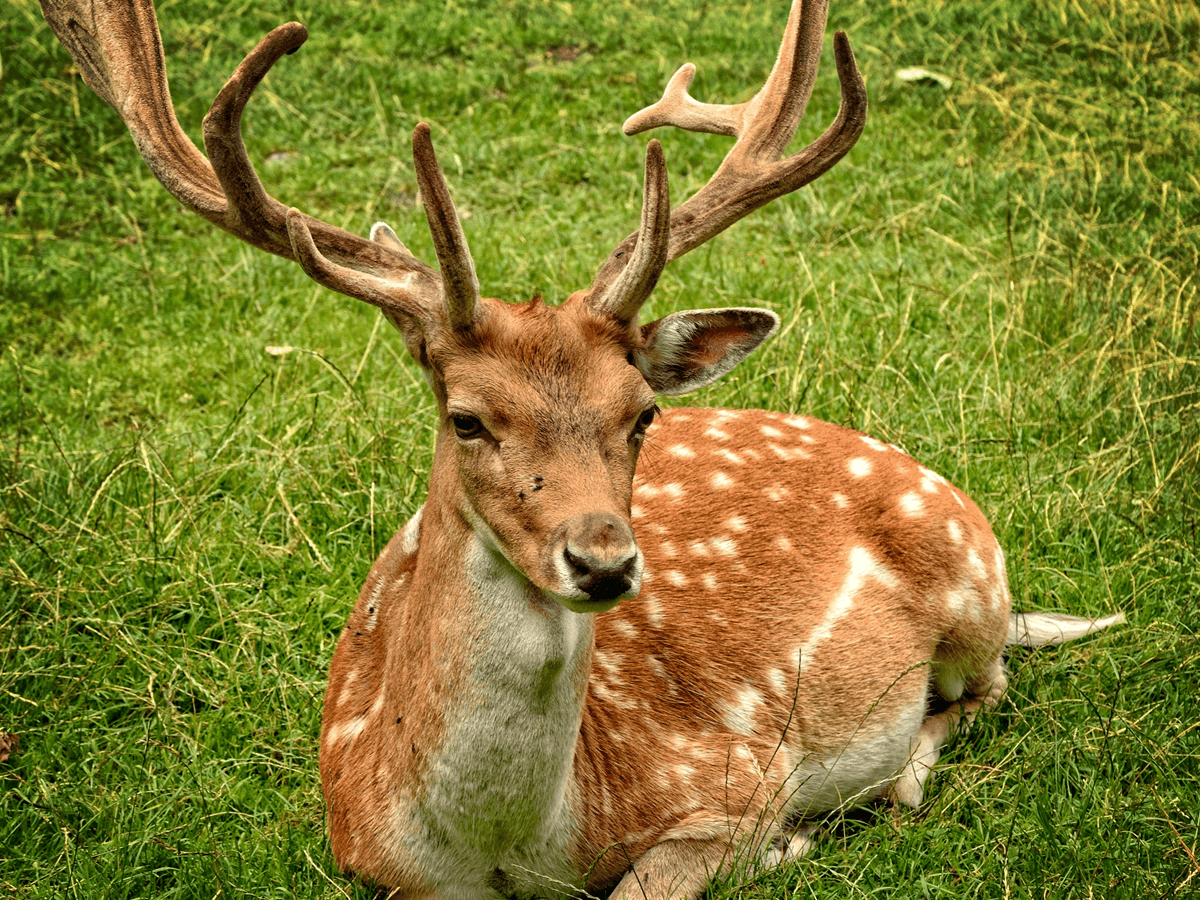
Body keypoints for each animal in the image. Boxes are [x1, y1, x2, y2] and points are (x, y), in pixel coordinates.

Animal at [40, 0, 1125, 897]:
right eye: (467, 417)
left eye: (640, 413)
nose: (602, 559)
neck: (515, 847)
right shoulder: (367, 852)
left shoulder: (736, 778)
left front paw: (791, 845)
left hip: (971, 580)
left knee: (988, 686)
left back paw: (901, 778)